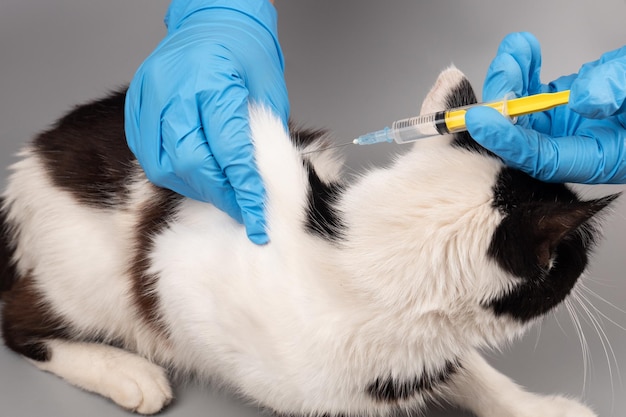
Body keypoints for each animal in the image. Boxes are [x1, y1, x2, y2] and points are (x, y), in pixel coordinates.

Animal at [0, 66, 616, 414]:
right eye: (577, 256)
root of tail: (27, 164)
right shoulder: (181, 275)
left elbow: (470, 371)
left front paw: (538, 408)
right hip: (84, 276)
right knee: (17, 320)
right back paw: (127, 373)